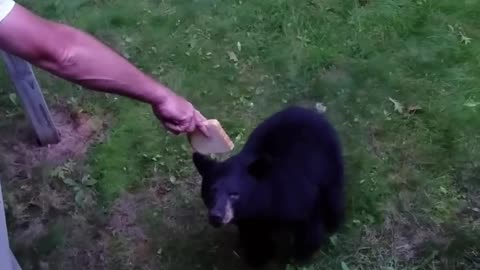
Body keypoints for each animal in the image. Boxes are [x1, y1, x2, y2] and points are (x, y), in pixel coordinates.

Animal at [191, 104, 344, 266]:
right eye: (211, 191)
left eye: (234, 194)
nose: (216, 216)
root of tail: (308, 110)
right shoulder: (250, 218)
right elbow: (255, 236)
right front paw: (258, 257)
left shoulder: (295, 194)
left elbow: (309, 225)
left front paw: (301, 257)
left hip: (330, 164)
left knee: (333, 196)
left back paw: (334, 223)